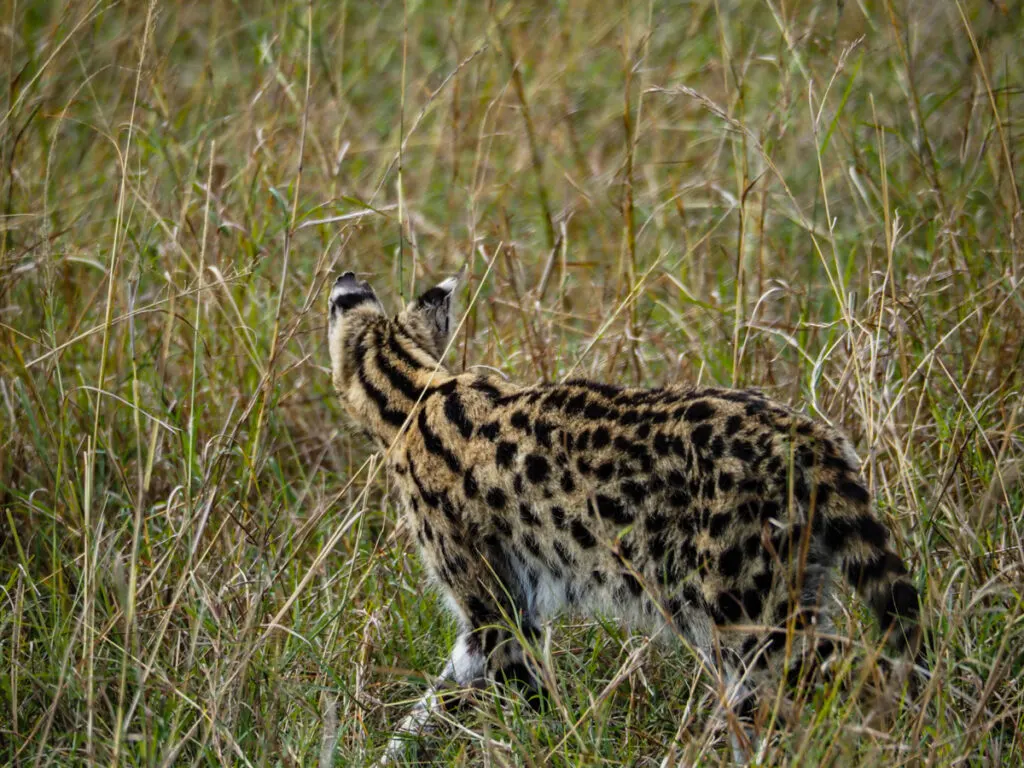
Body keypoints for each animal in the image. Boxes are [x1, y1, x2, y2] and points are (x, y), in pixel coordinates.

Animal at [325, 270, 921, 765]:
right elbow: (435, 700)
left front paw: (549, 747)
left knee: (861, 674)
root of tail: (808, 437)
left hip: (751, 619)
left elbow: (517, 700)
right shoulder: (495, 623)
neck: (413, 391)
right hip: (788, 593)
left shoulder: (496, 613)